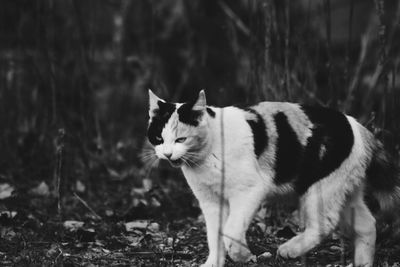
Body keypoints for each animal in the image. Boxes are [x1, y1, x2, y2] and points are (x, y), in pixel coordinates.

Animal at [147, 89, 400, 266]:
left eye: (181, 139)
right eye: (158, 139)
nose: (167, 154)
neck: (206, 156)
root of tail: (359, 127)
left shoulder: (249, 191)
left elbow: (231, 231)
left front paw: (242, 255)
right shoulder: (210, 201)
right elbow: (214, 234)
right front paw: (213, 263)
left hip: (319, 191)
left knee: (324, 225)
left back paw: (290, 249)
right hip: (345, 192)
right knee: (368, 224)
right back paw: (362, 263)